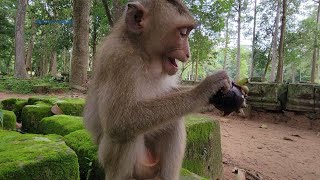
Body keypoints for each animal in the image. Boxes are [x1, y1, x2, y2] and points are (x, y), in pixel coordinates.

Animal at [84, 0, 230, 179]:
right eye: (182, 33)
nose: (188, 53)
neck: (145, 55)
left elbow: (170, 92)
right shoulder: (119, 59)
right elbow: (118, 120)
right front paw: (203, 91)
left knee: (172, 121)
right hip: (112, 157)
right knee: (125, 133)